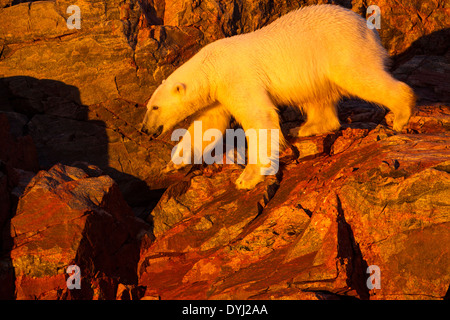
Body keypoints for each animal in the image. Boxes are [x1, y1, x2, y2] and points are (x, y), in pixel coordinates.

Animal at [141, 4, 414, 190]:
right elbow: (208, 124)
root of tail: (367, 26)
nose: (144, 129)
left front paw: (247, 178)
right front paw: (173, 162)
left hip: (342, 48)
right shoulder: (219, 94)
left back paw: (401, 114)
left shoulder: (238, 78)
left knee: (360, 76)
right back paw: (304, 128)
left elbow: (258, 117)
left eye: (155, 108)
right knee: (317, 98)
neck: (212, 66)